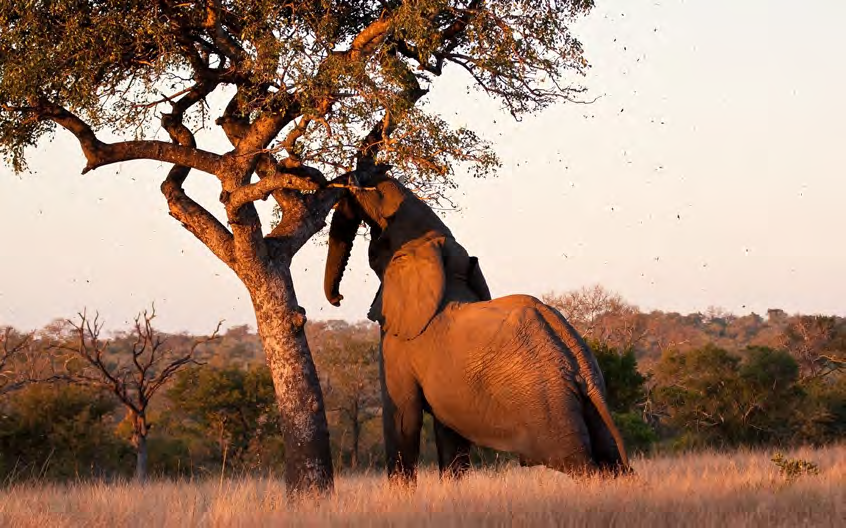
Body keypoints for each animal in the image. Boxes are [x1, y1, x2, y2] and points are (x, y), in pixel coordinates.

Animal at [324, 165, 628, 482]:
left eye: (376, 249)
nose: (338, 299)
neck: (441, 261)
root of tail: (582, 368)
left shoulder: (400, 342)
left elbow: (403, 417)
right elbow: (449, 435)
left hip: (549, 405)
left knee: (579, 463)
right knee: (609, 459)